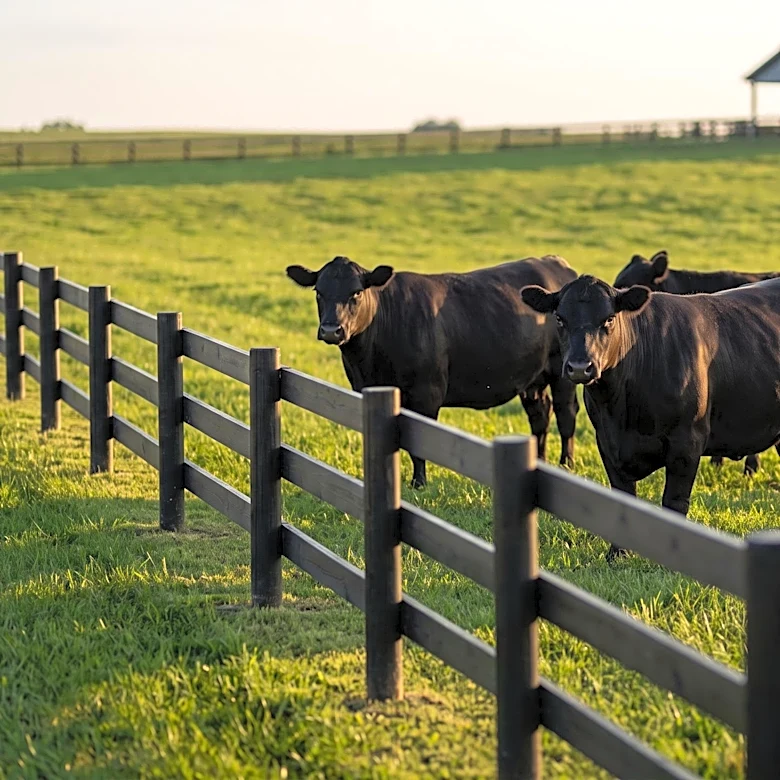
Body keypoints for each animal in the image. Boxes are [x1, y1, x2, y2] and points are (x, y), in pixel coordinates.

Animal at [286, 255, 580, 487]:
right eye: (318, 292)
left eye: (356, 293)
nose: (330, 330)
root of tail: (554, 262)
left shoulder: (427, 392)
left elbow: (419, 443)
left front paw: (419, 483)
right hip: (533, 378)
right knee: (540, 415)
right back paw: (540, 461)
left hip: (563, 372)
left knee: (565, 415)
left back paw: (566, 465)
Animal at [521, 275, 780, 560]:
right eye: (559, 318)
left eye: (609, 319)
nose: (580, 367)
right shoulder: (606, 442)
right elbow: (622, 497)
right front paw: (618, 554)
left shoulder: (687, 442)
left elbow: (674, 502)